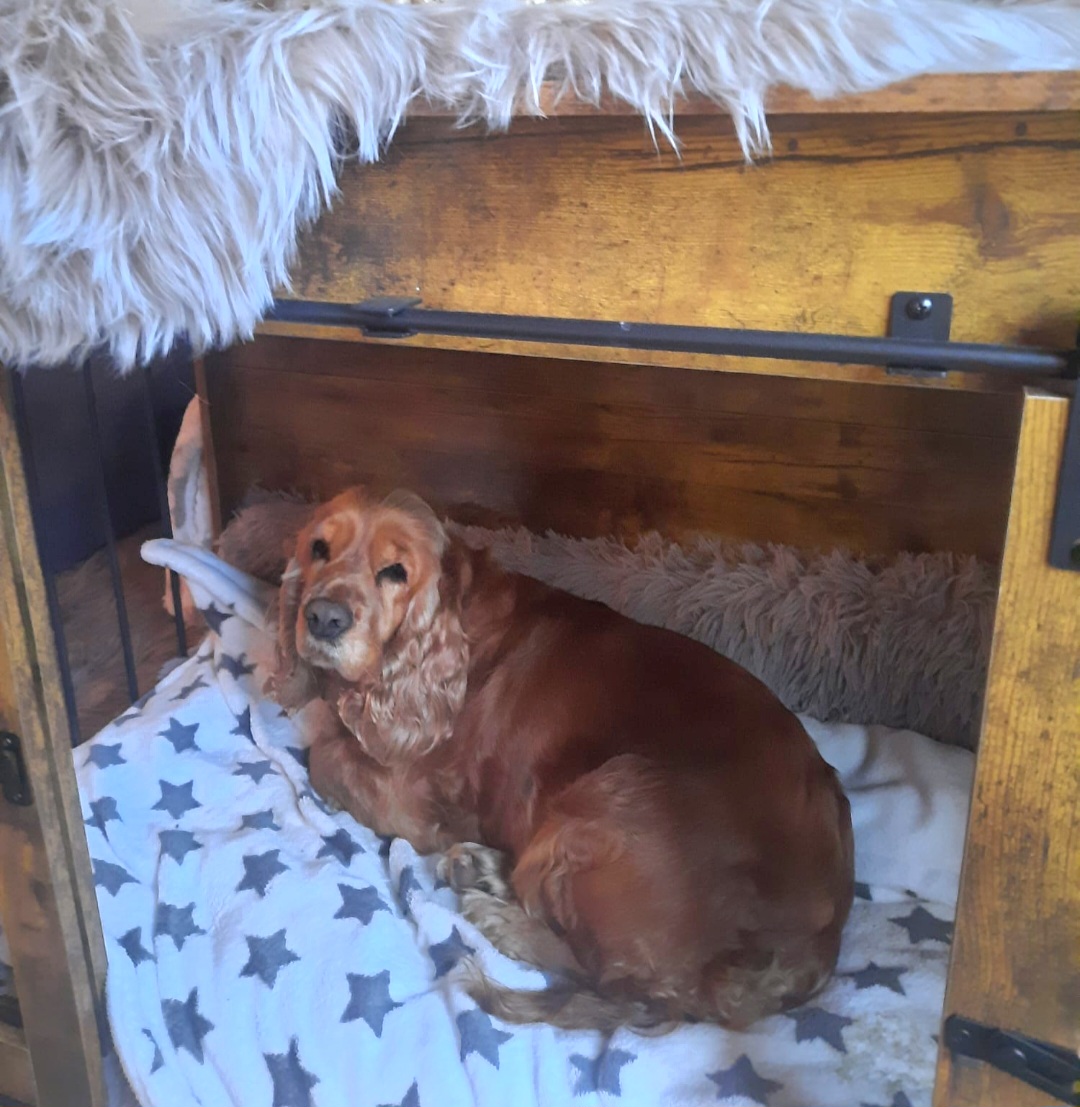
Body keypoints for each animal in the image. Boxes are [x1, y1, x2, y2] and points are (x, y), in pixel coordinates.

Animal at [266, 487, 854, 1031]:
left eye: (395, 571)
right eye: (319, 547)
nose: (322, 618)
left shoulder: (413, 800)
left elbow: (323, 754)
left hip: (613, 791)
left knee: (605, 973)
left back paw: (497, 915)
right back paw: (483, 869)